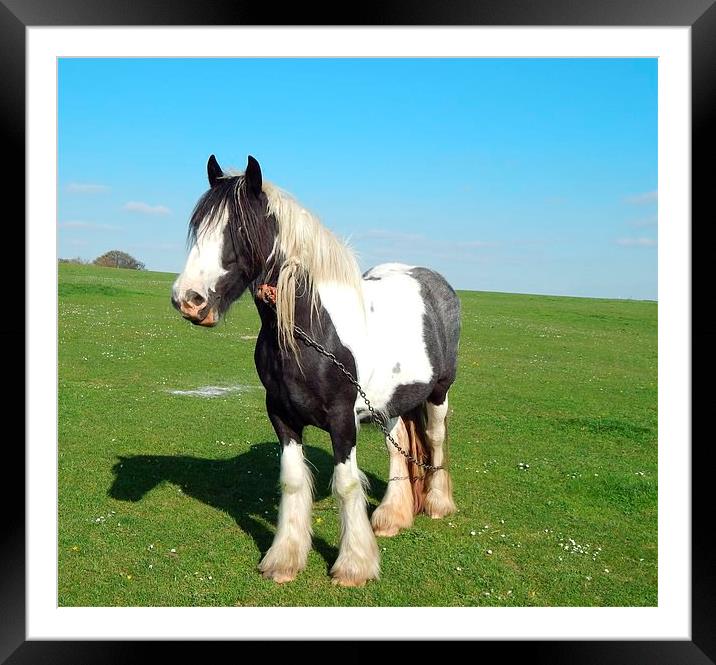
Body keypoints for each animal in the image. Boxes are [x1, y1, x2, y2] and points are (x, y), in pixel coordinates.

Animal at [171, 156, 462, 588]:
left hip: (439, 391)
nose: (188, 299)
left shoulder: (343, 420)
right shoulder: (282, 416)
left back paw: (439, 503)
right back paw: (390, 517)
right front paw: (284, 559)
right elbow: (293, 481)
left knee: (437, 440)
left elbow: (346, 484)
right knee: (399, 446)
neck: (309, 326)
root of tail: (433, 280)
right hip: (390, 403)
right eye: (198, 227)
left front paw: (354, 564)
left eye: (238, 228)